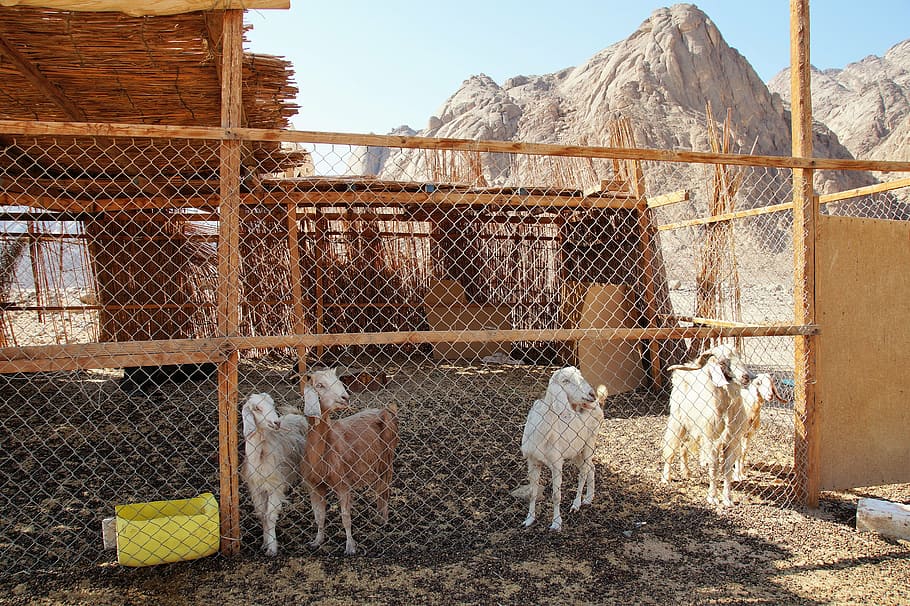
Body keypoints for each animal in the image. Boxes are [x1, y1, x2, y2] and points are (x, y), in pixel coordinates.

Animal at [240, 392, 308, 556]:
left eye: (273, 405)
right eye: (257, 408)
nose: (276, 422)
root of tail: (297, 415)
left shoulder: (275, 485)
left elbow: (270, 515)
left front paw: (272, 548)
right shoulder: (256, 488)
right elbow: (261, 513)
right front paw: (264, 543)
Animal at [300, 368, 399, 555]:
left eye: (340, 382)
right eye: (319, 385)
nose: (345, 397)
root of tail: (385, 410)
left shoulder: (342, 483)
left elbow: (346, 517)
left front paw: (350, 547)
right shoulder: (313, 485)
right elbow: (319, 516)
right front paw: (317, 541)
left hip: (387, 458)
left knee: (385, 489)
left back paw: (384, 519)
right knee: (380, 488)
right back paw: (379, 516)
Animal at [520, 366, 604, 531]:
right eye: (565, 381)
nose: (592, 394)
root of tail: (597, 405)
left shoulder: (556, 462)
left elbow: (556, 496)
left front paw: (556, 523)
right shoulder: (532, 461)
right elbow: (532, 492)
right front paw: (529, 519)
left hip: (590, 441)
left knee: (584, 471)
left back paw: (576, 504)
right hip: (576, 450)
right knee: (591, 467)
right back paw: (588, 498)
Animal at [660, 344, 752, 506]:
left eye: (739, 357)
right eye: (722, 362)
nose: (746, 377)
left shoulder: (732, 441)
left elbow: (727, 469)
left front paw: (727, 499)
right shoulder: (712, 441)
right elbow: (714, 467)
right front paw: (712, 498)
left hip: (695, 428)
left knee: (684, 446)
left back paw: (686, 473)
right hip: (678, 421)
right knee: (671, 447)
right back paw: (666, 477)